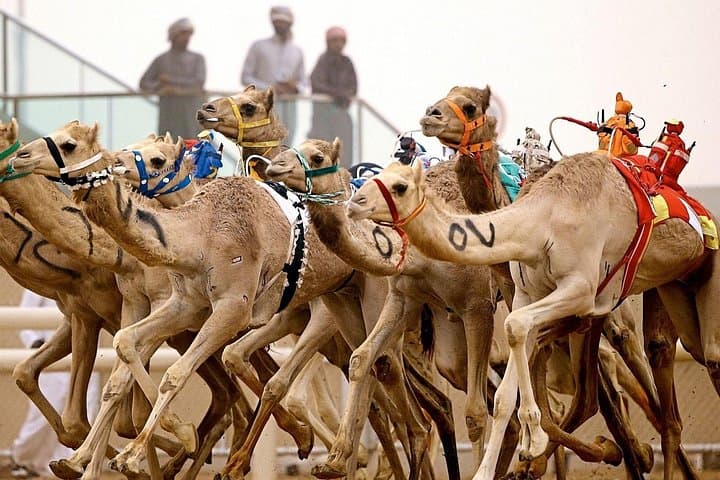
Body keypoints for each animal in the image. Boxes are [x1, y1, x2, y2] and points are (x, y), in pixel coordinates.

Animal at [346, 143, 719, 480]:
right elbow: (505, 386)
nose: (354, 203)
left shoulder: (580, 289)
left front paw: (533, 441)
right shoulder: (528, 294)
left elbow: (514, 326)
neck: (542, 222)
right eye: (376, 177)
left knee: (701, 360)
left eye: (400, 186)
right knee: (667, 372)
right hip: (671, 288)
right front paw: (492, 468)